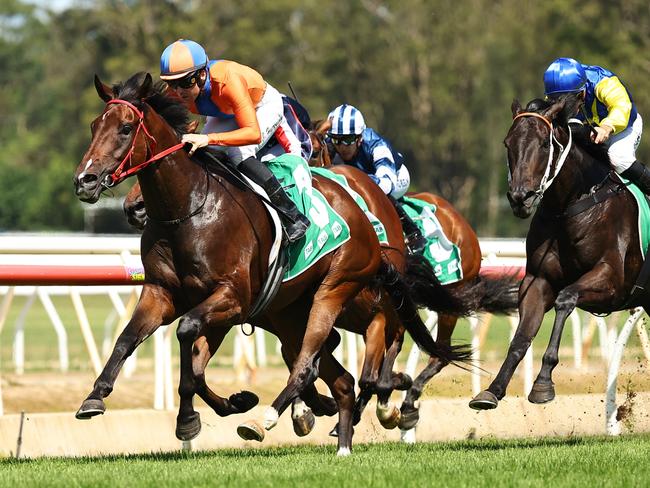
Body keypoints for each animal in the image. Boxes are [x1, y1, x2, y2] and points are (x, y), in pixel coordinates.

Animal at [73, 72, 470, 454]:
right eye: (94, 126)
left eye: (126, 128)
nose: (85, 181)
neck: (188, 209)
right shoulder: (163, 292)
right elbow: (131, 339)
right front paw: (96, 396)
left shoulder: (231, 298)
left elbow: (187, 336)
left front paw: (191, 418)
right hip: (291, 311)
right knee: (338, 375)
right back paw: (340, 434)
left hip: (336, 289)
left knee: (327, 357)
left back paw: (277, 417)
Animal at [468, 93, 644, 410]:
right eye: (508, 143)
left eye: (543, 143)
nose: (520, 198)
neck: (570, 208)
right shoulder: (538, 281)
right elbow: (521, 337)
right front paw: (492, 390)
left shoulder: (612, 281)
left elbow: (566, 299)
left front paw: (542, 383)